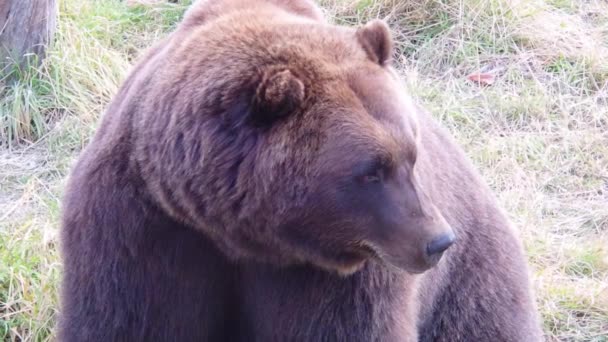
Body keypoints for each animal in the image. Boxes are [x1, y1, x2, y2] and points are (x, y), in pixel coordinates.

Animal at [58, 0, 540, 340]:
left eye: (412, 155)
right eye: (370, 171)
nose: (437, 241)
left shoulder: (340, 274)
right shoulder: (142, 227)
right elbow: (128, 318)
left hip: (474, 278)